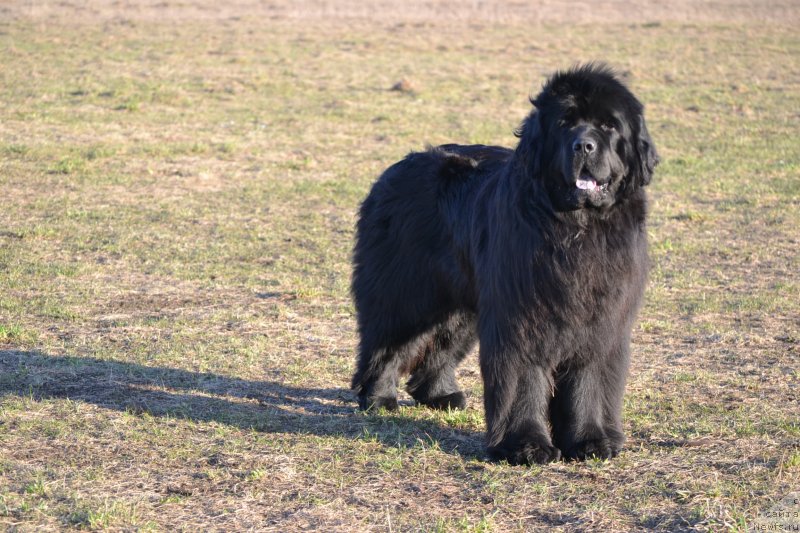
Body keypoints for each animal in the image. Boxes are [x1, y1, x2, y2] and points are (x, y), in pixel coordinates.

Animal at [354, 64, 660, 464]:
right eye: (565, 123)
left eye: (609, 125)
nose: (583, 145)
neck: (577, 226)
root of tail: (392, 170)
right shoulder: (519, 318)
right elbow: (522, 378)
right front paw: (525, 445)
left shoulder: (601, 321)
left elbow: (589, 379)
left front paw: (590, 440)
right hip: (408, 292)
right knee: (387, 341)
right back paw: (377, 396)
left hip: (463, 302)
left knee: (441, 342)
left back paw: (439, 394)